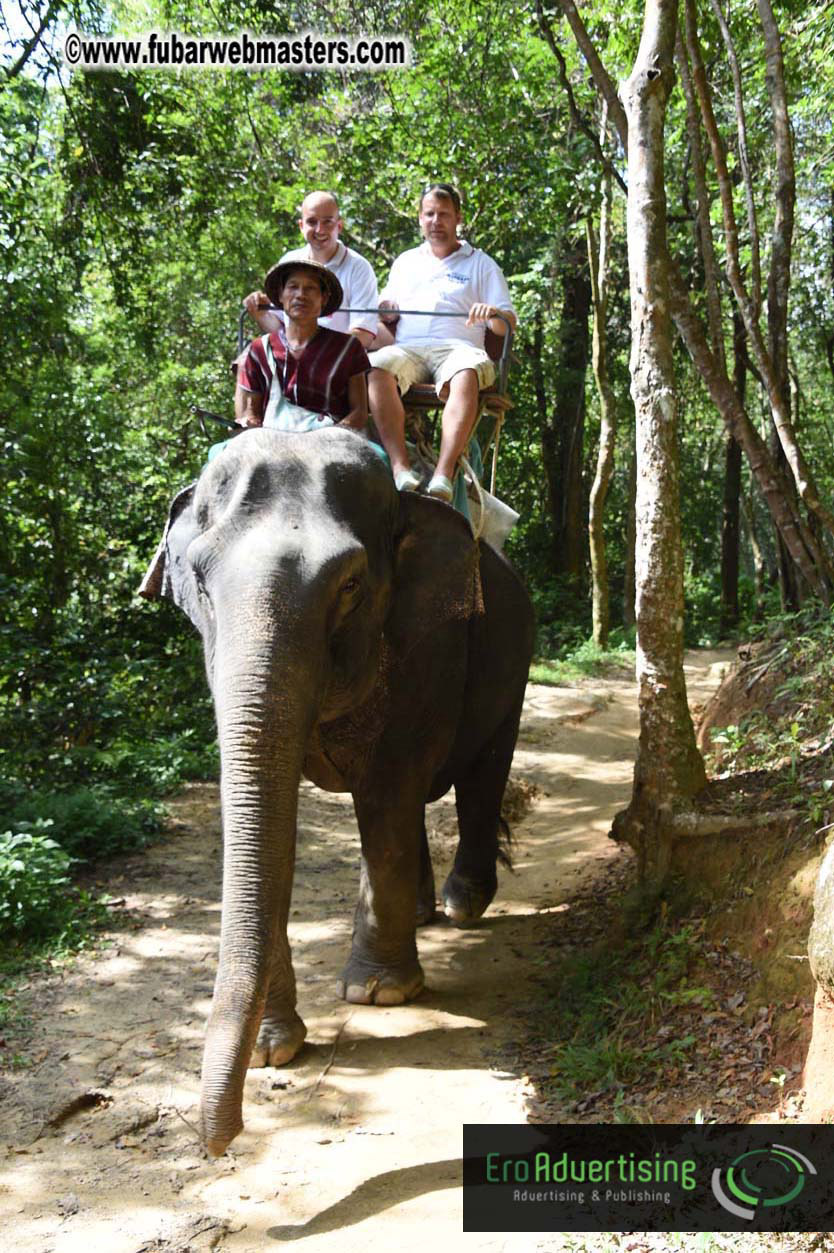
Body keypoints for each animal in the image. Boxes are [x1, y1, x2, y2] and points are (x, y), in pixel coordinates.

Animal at [140, 426, 534, 1156]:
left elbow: (386, 790)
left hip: (513, 654)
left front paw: (379, 994)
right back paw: (425, 913)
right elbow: (266, 813)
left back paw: (460, 906)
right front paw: (276, 1049)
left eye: (351, 584)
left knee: (479, 775)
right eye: (200, 582)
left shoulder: (426, 644)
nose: (223, 1141)